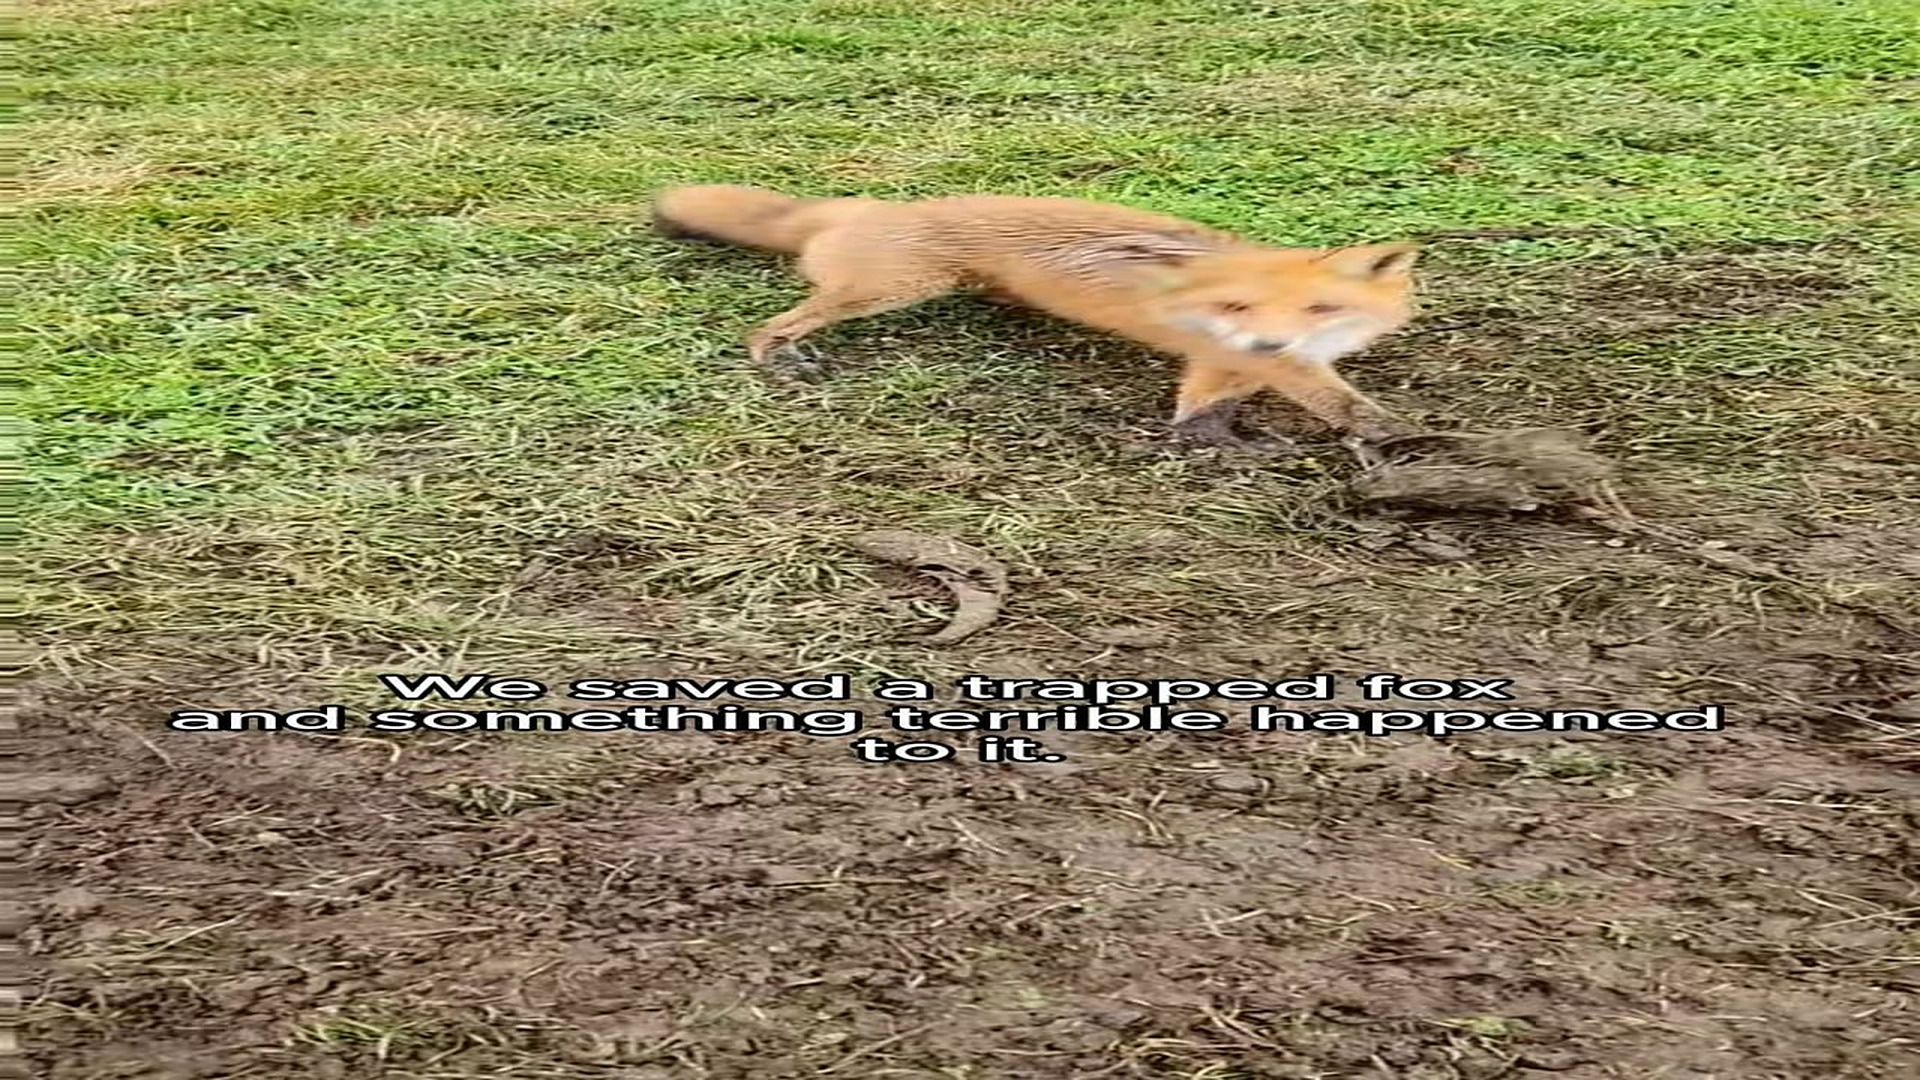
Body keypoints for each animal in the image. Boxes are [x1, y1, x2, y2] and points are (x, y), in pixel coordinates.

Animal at [651, 184, 1422, 451]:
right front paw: (1402, 441)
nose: (1267, 337)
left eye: (1322, 307)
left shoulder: (1229, 359)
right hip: (894, 288)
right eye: (1237, 306)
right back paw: (780, 356)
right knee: (767, 327)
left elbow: (1203, 408)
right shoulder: (1256, 357)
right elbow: (1338, 408)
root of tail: (872, 206)